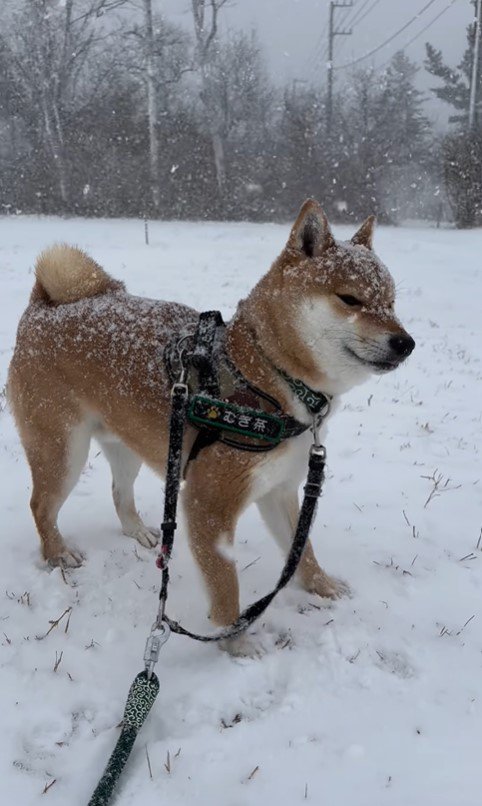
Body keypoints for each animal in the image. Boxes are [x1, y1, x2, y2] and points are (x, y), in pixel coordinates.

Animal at [7, 200, 414, 656]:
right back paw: (57, 553)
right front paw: (236, 643)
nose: (406, 343)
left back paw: (137, 532)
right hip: (63, 453)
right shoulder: (209, 504)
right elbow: (225, 585)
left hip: (129, 446)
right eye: (350, 299)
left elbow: (302, 550)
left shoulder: (279, 491)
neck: (266, 374)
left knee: (119, 493)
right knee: (41, 506)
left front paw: (321, 586)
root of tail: (43, 306)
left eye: (392, 302)